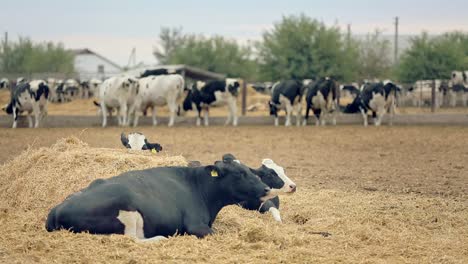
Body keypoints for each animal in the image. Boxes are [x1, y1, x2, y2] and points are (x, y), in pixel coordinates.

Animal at [45, 154, 276, 242]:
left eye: (249, 169)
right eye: (239, 174)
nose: (266, 188)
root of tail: (56, 209)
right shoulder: (195, 225)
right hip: (126, 207)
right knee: (133, 238)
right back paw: (159, 238)